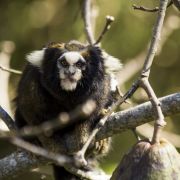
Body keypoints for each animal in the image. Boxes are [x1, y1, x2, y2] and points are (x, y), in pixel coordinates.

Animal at [14, 40, 121, 180]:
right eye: (64, 63)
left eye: (79, 65)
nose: (70, 72)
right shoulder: (31, 83)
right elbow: (30, 110)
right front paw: (51, 144)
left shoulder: (102, 84)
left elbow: (98, 105)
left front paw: (83, 133)